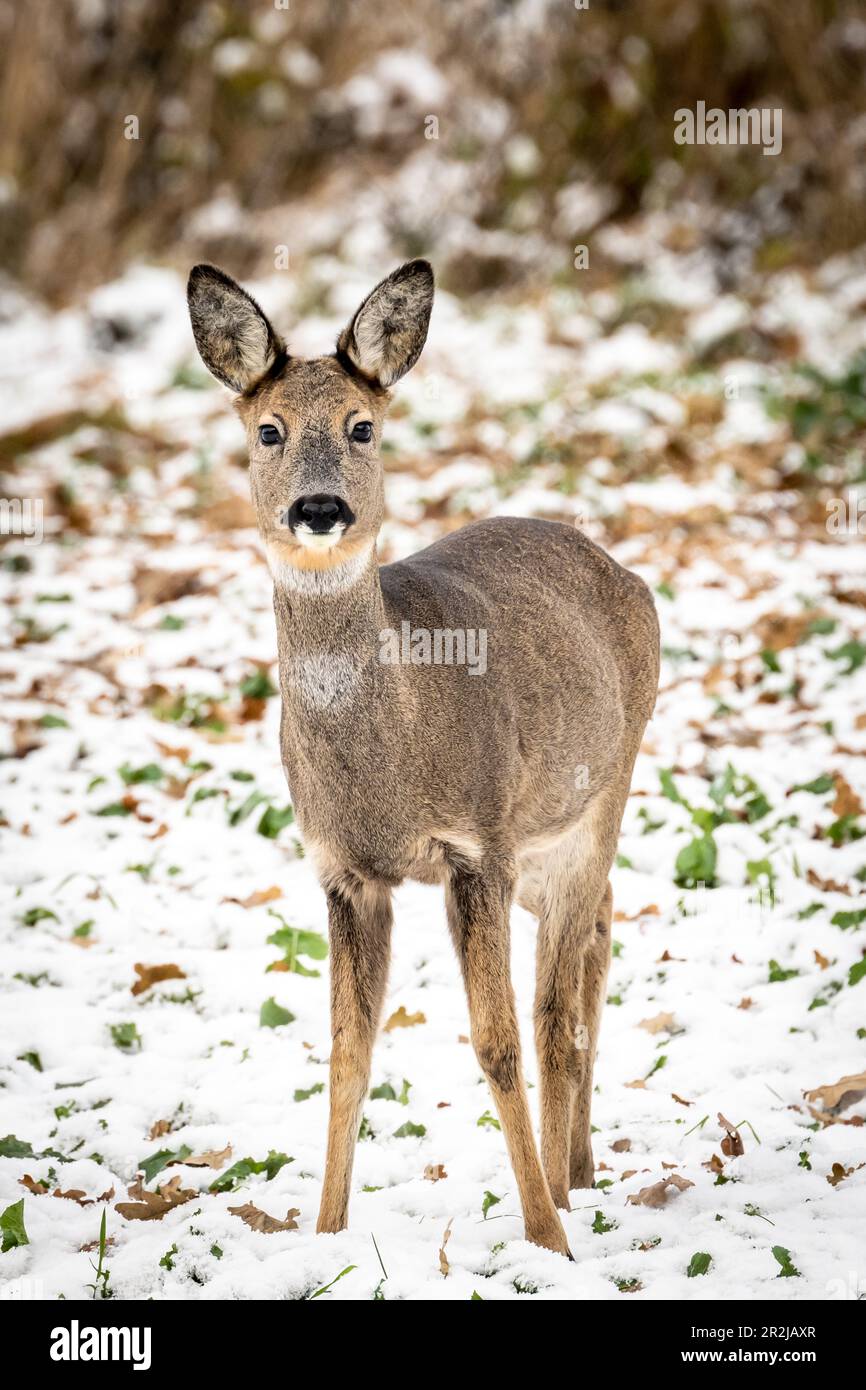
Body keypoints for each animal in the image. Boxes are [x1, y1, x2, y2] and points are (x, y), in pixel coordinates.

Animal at [187, 261, 656, 1262]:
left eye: (362, 426)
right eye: (267, 429)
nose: (319, 508)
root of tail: (617, 567)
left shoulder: (476, 845)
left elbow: (496, 1043)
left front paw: (545, 1239)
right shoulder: (344, 871)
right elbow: (346, 1054)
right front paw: (324, 1234)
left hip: (600, 795)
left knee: (556, 1012)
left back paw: (565, 1192)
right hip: (549, 845)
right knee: (599, 940)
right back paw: (583, 1167)